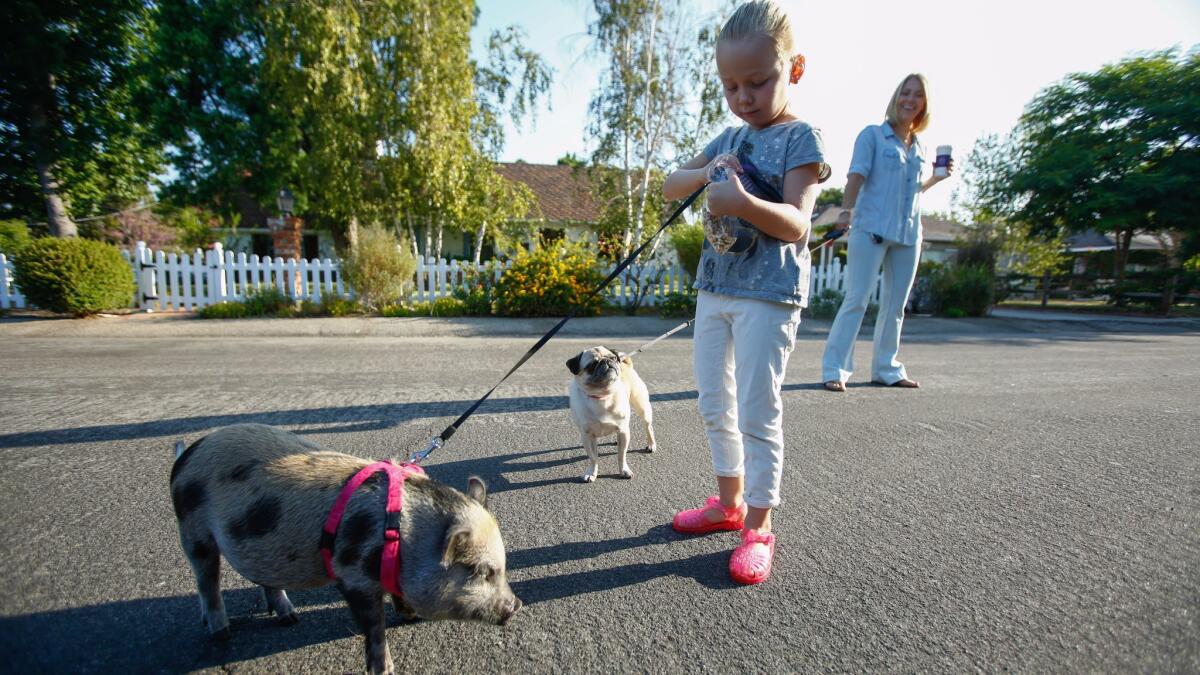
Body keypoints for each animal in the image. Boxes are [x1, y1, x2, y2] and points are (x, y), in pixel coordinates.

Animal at [564, 343, 657, 480]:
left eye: (612, 358)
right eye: (592, 365)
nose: (607, 361)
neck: (602, 396)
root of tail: (626, 365)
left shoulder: (623, 431)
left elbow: (621, 455)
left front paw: (624, 470)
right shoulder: (587, 435)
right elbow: (593, 458)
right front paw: (591, 473)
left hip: (643, 409)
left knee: (648, 427)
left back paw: (651, 445)